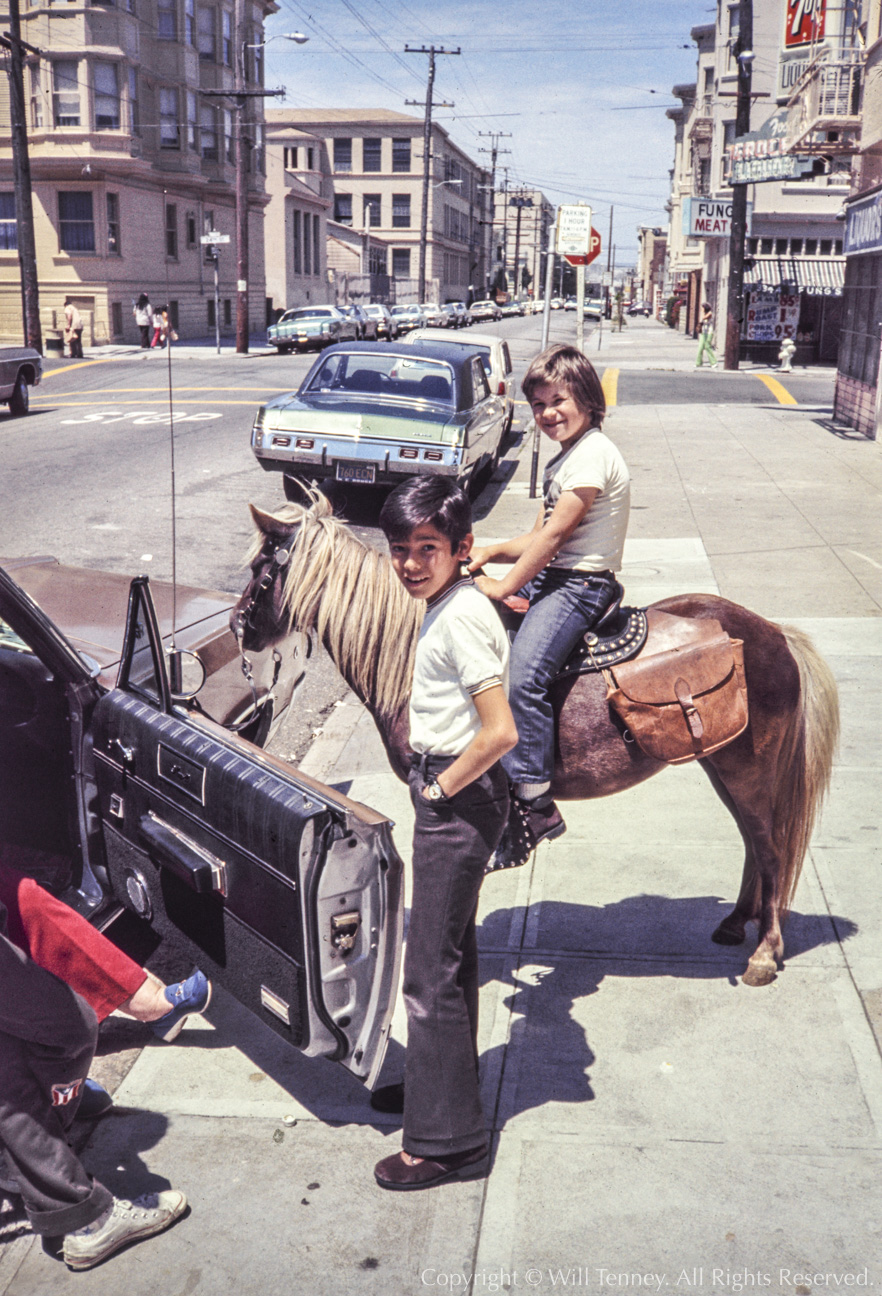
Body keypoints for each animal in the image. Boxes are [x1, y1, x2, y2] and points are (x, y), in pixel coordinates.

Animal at [235, 489, 839, 984]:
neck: (416, 652)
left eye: (262, 568)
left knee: (771, 846)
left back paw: (765, 952)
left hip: (748, 766)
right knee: (753, 841)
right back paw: (737, 923)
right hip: (722, 764)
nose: (240, 627)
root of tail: (773, 633)